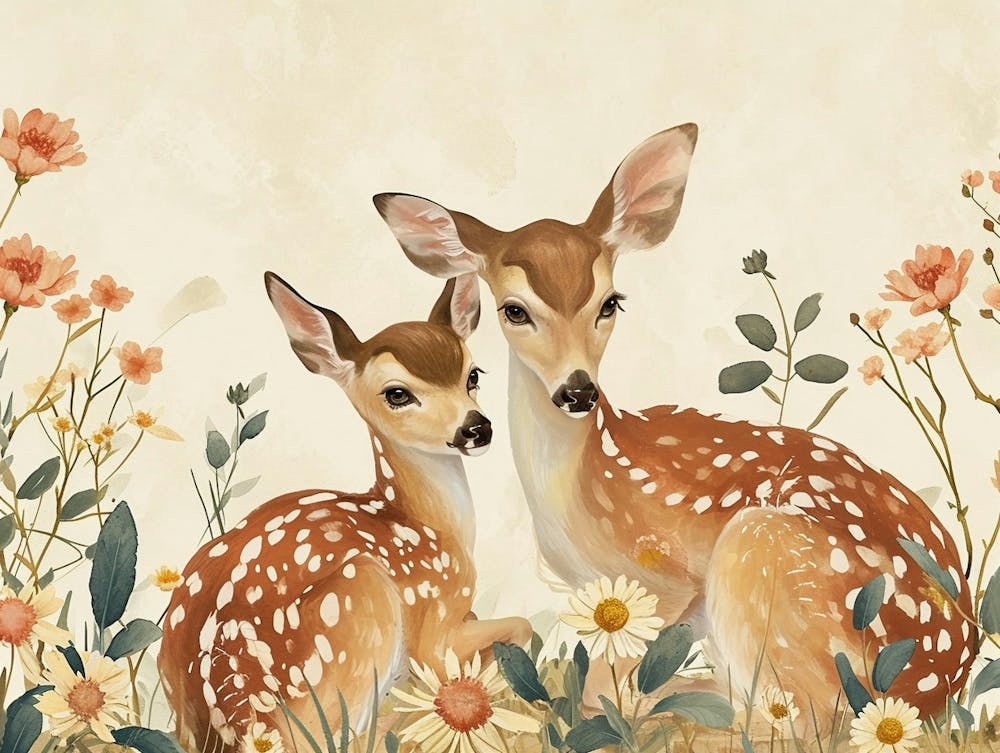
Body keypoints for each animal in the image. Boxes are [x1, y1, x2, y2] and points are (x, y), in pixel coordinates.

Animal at [158, 271, 531, 752]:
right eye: (397, 393)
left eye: (473, 375)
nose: (477, 427)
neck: (430, 526)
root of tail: (234, 733)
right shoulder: (433, 625)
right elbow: (517, 628)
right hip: (358, 611)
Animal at [372, 123, 976, 720]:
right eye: (514, 310)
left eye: (610, 302)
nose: (577, 390)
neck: (576, 487)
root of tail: (942, 690)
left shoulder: (664, 578)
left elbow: (605, 685)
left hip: (763, 560)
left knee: (797, 716)